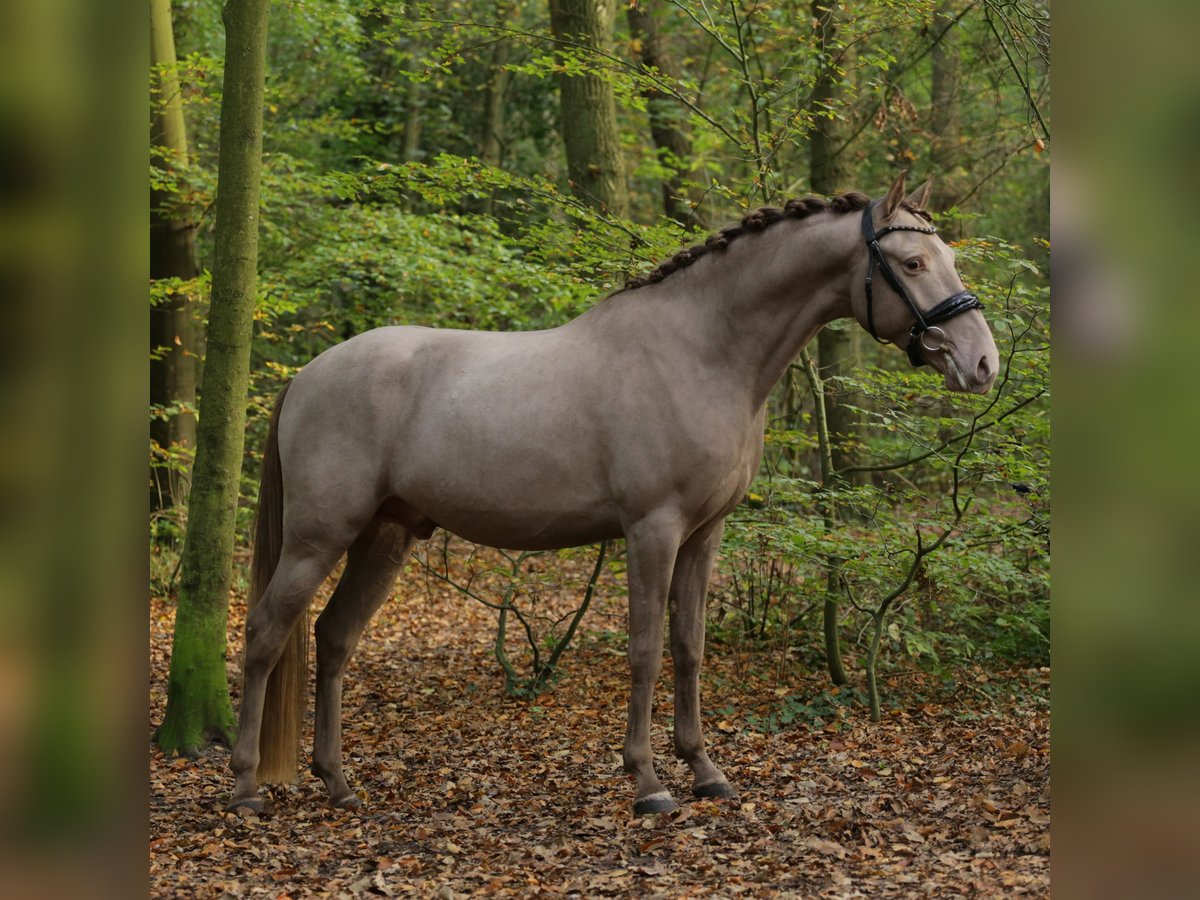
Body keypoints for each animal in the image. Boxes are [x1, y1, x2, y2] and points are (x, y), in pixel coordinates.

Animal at [229, 170, 998, 816]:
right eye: (912, 263)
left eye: (947, 257)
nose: (982, 362)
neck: (701, 350)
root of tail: (307, 375)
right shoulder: (652, 529)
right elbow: (646, 648)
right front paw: (649, 783)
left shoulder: (704, 533)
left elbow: (689, 645)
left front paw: (706, 772)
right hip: (318, 536)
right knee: (266, 634)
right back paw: (245, 787)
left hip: (384, 535)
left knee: (333, 639)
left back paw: (338, 784)